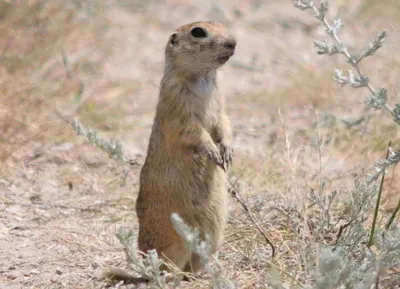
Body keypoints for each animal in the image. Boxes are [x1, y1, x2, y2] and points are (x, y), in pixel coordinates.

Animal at [98, 20, 236, 284]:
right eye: (198, 32)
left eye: (223, 25)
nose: (233, 42)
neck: (202, 78)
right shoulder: (177, 107)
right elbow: (193, 131)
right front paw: (212, 152)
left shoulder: (221, 105)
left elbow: (225, 123)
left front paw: (227, 152)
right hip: (175, 244)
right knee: (168, 268)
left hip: (213, 235)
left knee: (194, 264)